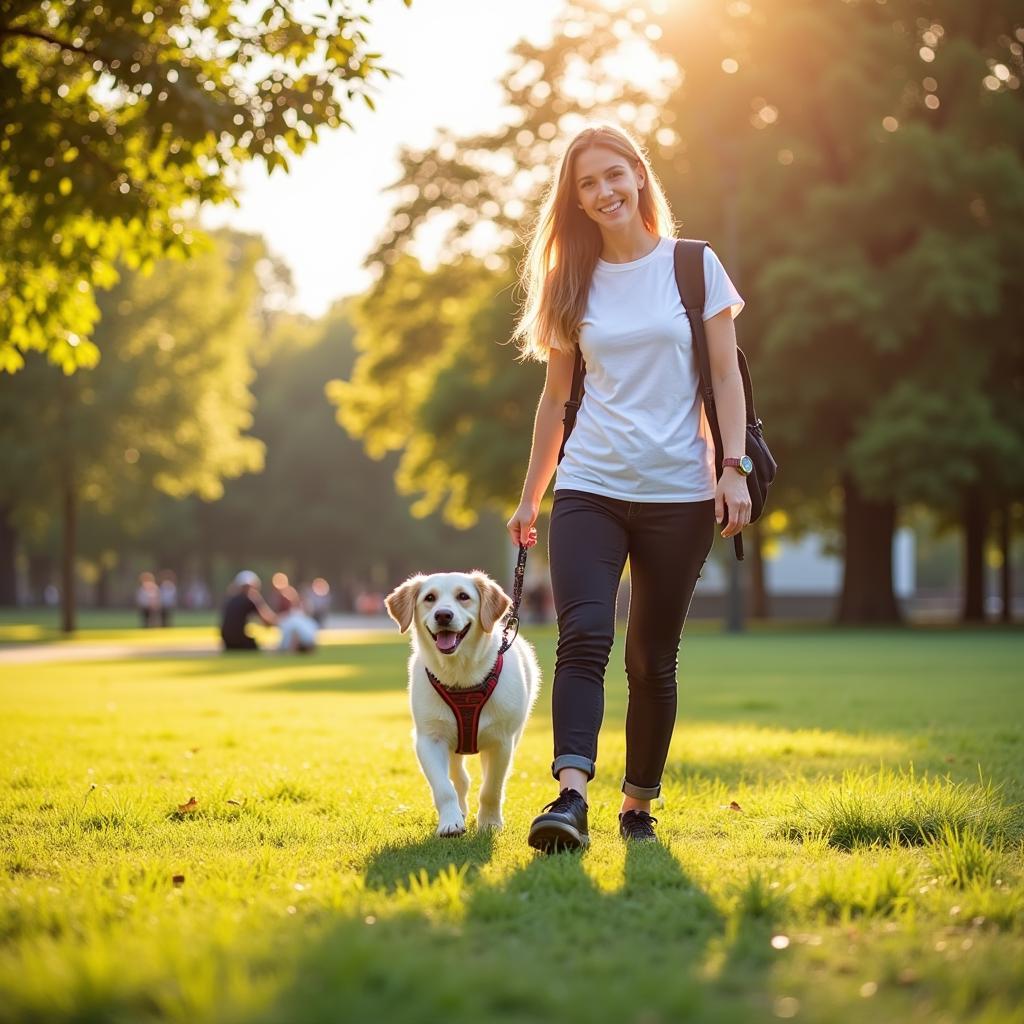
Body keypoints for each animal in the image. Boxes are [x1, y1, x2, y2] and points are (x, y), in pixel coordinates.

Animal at [385, 573, 544, 835]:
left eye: (463, 596)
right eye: (430, 598)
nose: (443, 615)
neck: (460, 676)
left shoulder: (502, 742)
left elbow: (491, 788)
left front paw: (490, 823)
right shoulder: (429, 739)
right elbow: (444, 788)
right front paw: (450, 821)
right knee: (459, 778)